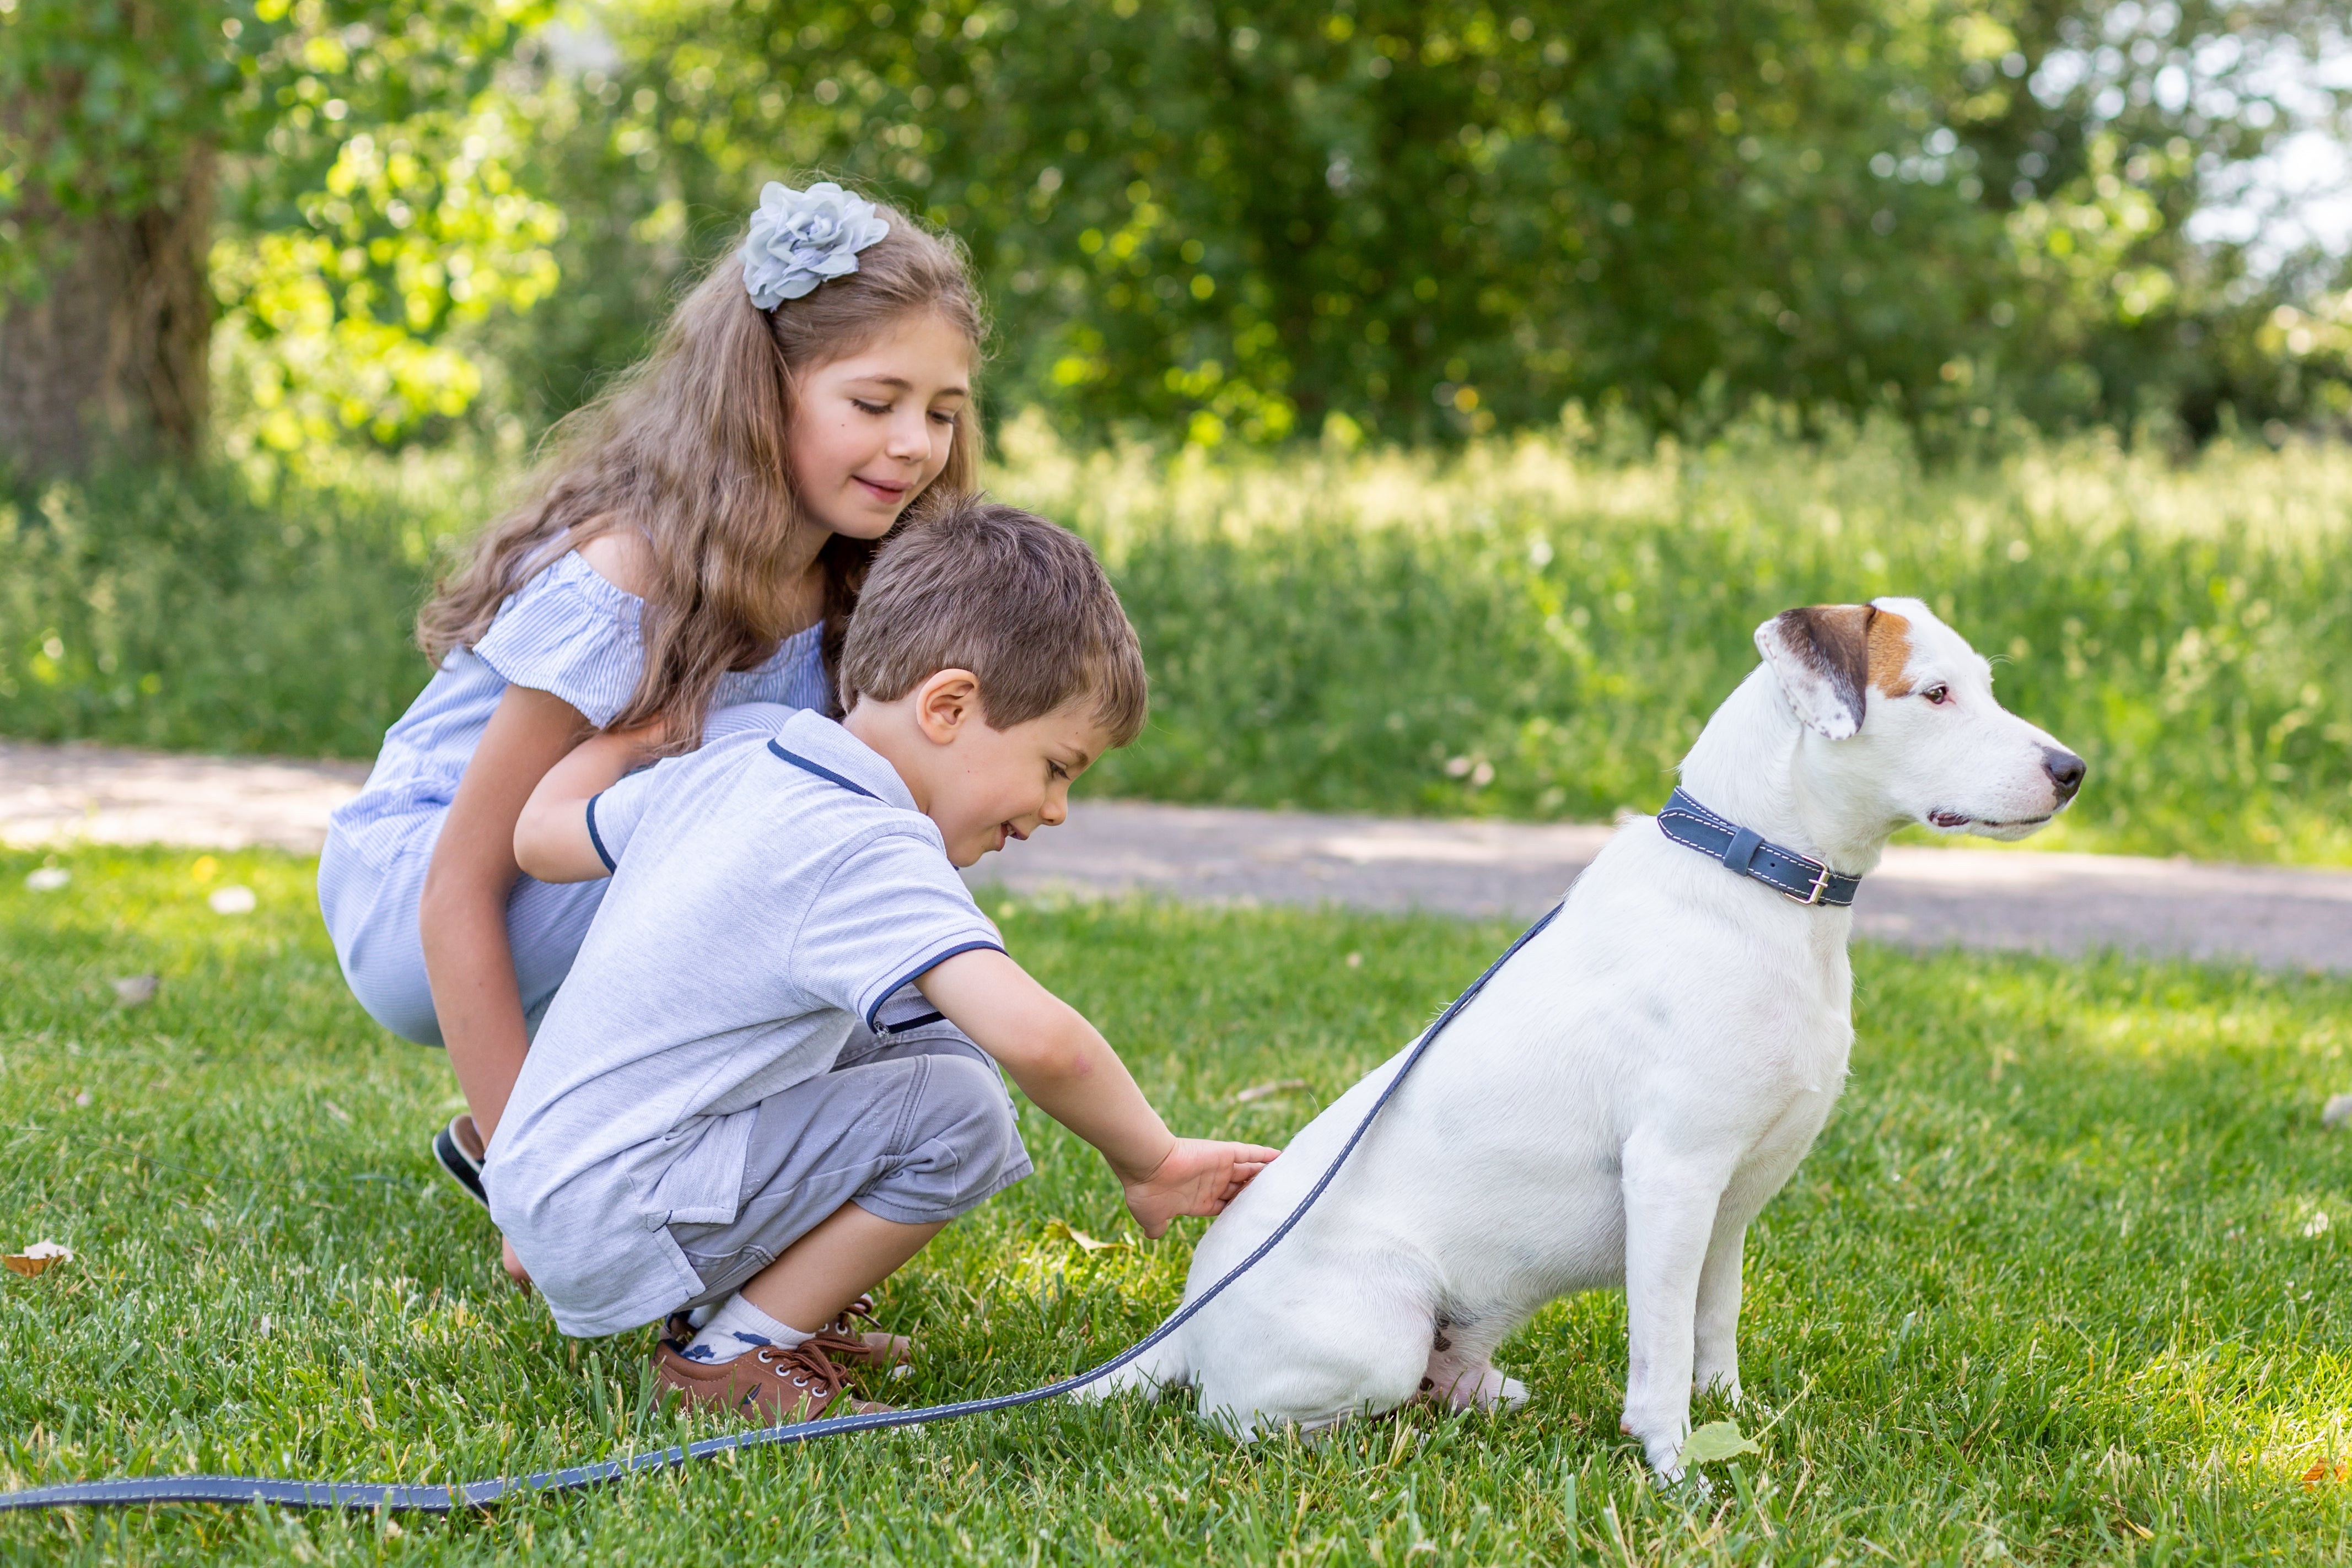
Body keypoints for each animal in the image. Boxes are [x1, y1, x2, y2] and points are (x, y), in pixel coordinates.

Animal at [1091, 595, 2089, 1476]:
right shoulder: (1673, 1177)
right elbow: (1661, 1356)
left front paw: (1728, 1421)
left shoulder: (1728, 1208)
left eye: (1983, 683)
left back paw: (1479, 1393)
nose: (2072, 768)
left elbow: (1711, 1328)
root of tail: (1181, 1325)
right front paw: (1674, 1470)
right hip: (1377, 1329)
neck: (1761, 883)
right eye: (1933, 694)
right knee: (1238, 1417)